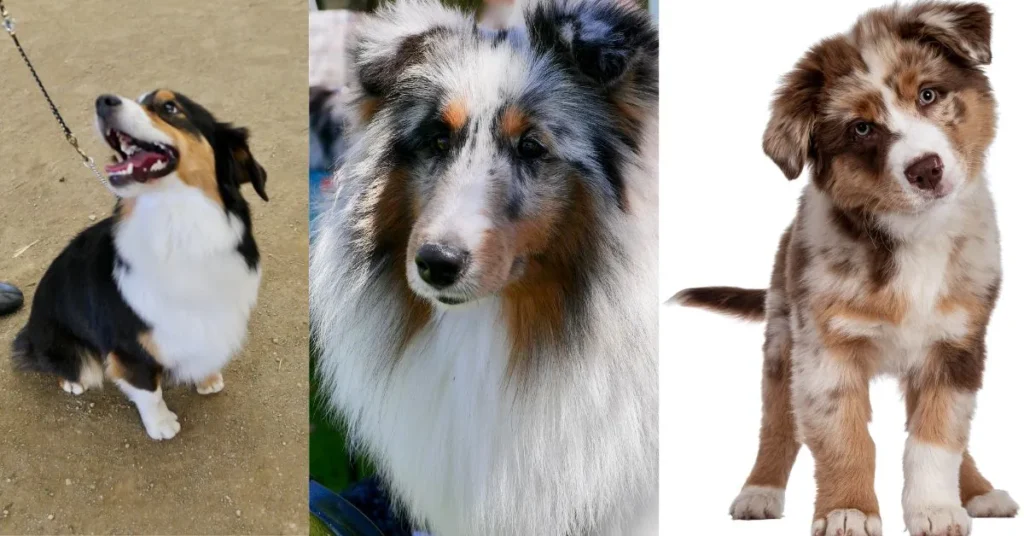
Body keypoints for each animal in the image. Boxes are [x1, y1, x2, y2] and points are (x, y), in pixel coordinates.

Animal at [671, 4, 1015, 536]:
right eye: (861, 129)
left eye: (929, 94)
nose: (926, 170)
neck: (913, 237)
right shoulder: (824, 352)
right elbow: (845, 439)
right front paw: (847, 510)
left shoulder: (956, 345)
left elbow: (937, 439)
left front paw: (936, 509)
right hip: (781, 337)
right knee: (776, 423)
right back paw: (759, 491)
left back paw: (979, 491)